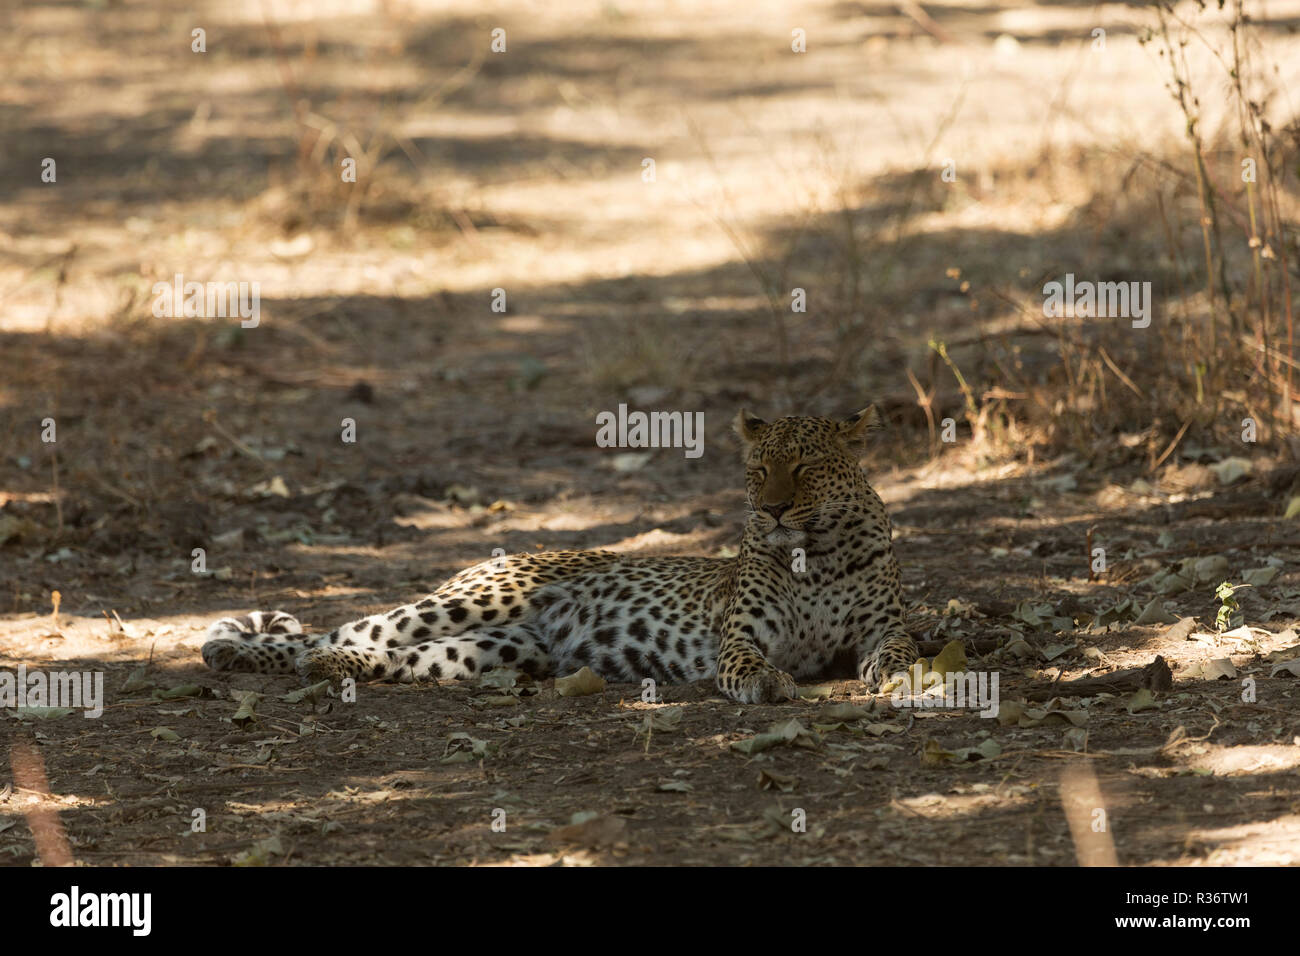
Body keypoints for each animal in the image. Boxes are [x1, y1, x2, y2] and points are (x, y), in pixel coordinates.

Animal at [200, 406, 918, 704]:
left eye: (806, 467)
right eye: (759, 470)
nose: (771, 510)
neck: (813, 555)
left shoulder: (880, 626)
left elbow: (901, 648)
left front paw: (906, 677)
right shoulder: (741, 634)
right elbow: (747, 661)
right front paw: (767, 683)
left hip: (503, 648)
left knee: (395, 656)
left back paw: (329, 667)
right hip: (470, 603)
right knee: (341, 629)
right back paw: (236, 650)